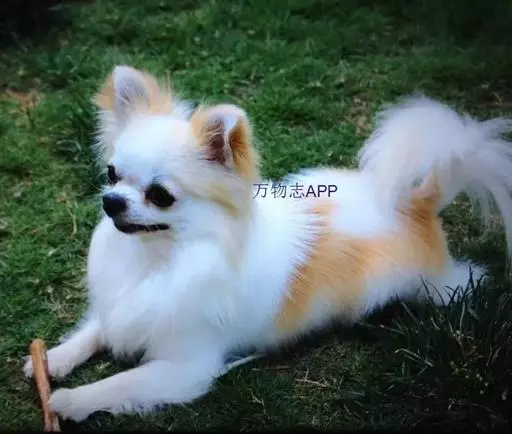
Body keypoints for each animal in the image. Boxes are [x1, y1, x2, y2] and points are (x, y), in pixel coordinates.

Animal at [23, 65, 512, 422]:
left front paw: (72, 400)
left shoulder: (186, 368)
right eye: (111, 175)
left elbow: (122, 384)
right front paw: (55, 360)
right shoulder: (122, 304)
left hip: (431, 288)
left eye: (160, 196)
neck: (159, 257)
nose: (111, 201)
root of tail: (415, 203)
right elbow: (95, 329)